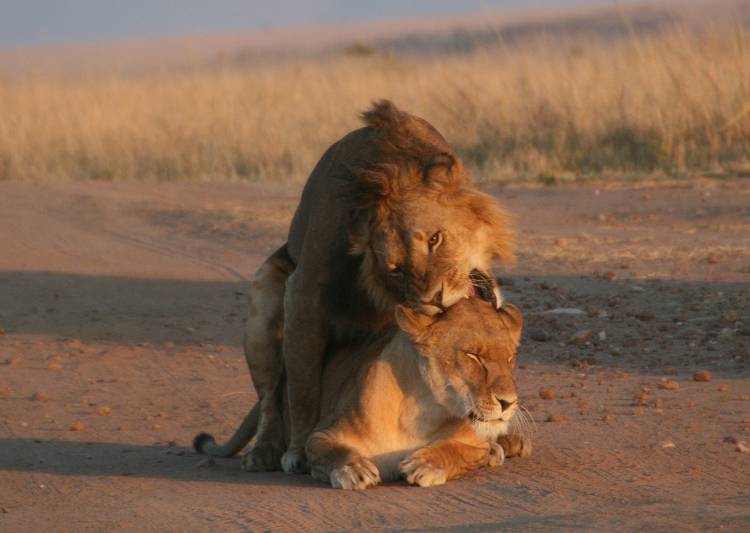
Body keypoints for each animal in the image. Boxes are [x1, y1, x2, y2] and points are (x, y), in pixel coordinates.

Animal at [192, 98, 516, 470]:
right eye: (396, 270)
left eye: (435, 239)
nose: (432, 299)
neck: (385, 175)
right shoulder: (302, 293)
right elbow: (302, 387)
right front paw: (300, 451)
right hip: (263, 302)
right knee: (272, 396)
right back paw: (266, 450)